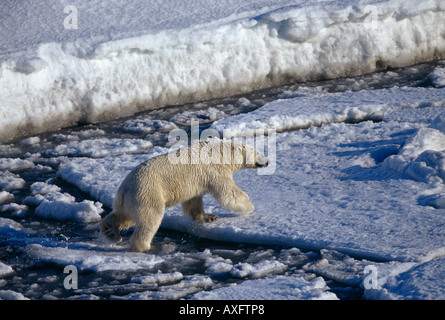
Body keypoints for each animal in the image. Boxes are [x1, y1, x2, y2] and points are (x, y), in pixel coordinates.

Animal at [100, 141, 268, 251]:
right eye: (259, 153)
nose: (267, 161)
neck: (220, 152)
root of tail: (124, 188)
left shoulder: (196, 181)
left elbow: (193, 201)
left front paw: (209, 217)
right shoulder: (213, 170)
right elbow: (228, 192)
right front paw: (249, 206)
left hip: (129, 200)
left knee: (124, 216)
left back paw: (109, 230)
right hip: (147, 192)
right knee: (150, 218)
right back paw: (149, 246)